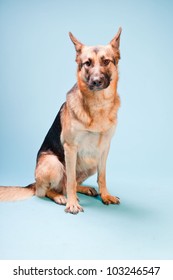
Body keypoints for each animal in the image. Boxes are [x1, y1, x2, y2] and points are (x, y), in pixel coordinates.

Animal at [0, 27, 121, 213]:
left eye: (106, 61)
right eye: (87, 63)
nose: (96, 81)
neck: (98, 105)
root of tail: (34, 183)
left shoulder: (104, 148)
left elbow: (102, 176)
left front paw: (105, 195)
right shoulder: (70, 148)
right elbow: (70, 181)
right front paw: (72, 203)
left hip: (91, 162)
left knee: (69, 184)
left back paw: (83, 190)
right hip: (54, 163)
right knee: (48, 190)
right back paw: (61, 197)